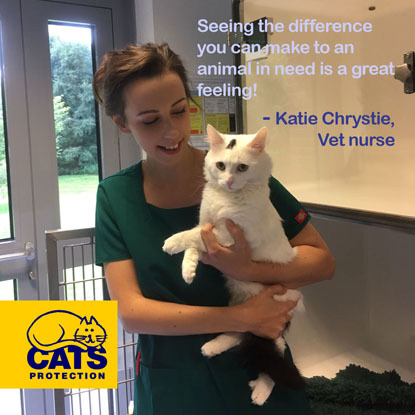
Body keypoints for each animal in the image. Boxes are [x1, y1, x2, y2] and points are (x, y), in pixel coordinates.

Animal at [162, 126, 306, 406]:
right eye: (220, 165)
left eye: (242, 168)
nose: (228, 181)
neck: (224, 198)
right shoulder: (206, 224)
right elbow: (195, 243)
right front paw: (188, 270)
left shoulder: (226, 235)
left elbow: (192, 236)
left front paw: (171, 243)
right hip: (241, 307)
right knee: (239, 329)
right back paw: (212, 347)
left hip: (273, 324)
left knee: (274, 358)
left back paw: (260, 393)